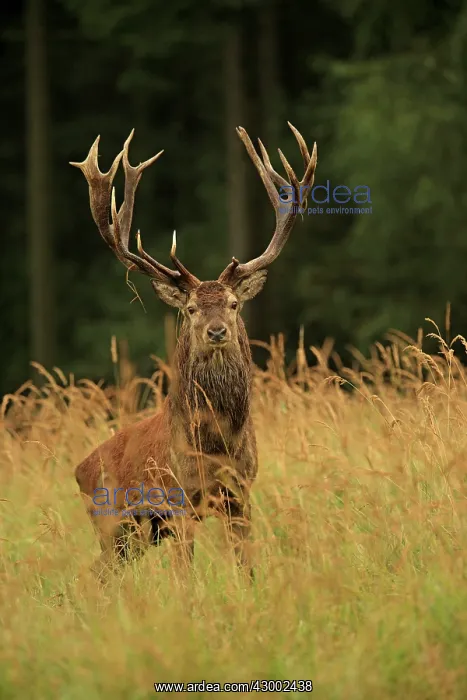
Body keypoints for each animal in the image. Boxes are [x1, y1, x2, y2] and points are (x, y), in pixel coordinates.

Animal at [71, 123, 317, 582]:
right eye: (190, 309)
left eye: (234, 304)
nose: (217, 330)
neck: (217, 444)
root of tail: (78, 469)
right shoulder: (180, 499)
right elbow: (186, 575)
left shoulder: (242, 493)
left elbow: (247, 566)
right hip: (112, 522)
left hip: (137, 536)